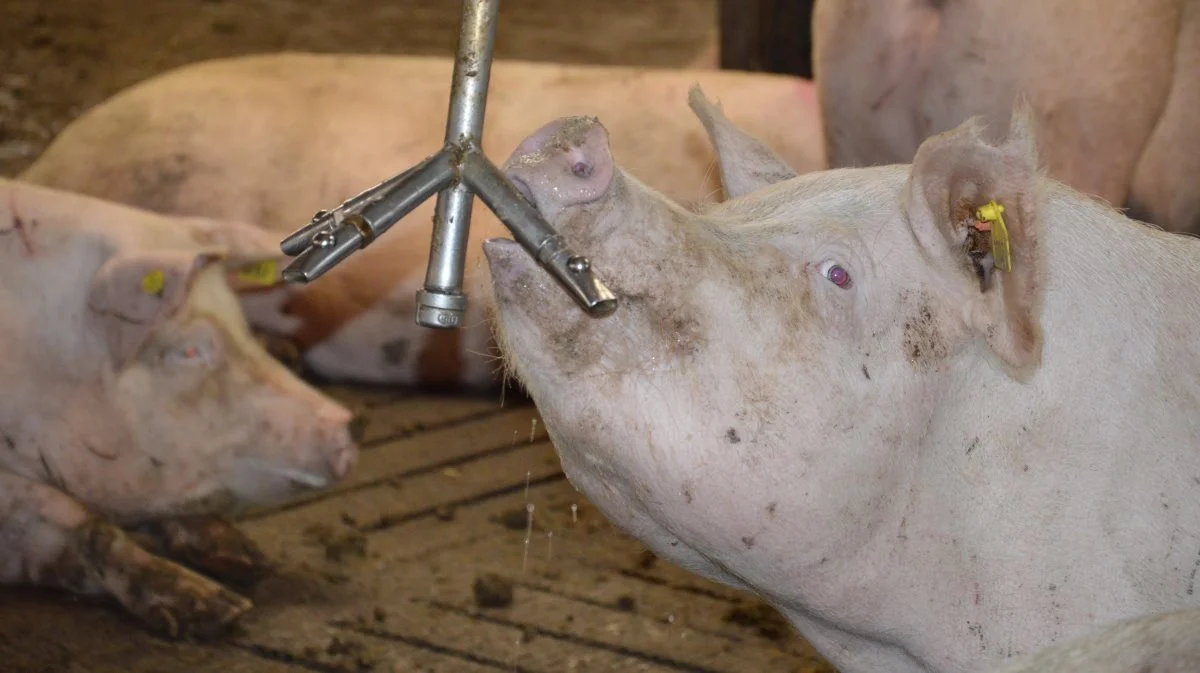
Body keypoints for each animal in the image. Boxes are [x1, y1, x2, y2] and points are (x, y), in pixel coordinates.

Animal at [0, 178, 355, 638]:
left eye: (242, 324)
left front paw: (246, 559)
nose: (347, 423)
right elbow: (78, 522)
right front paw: (222, 609)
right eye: (188, 351)